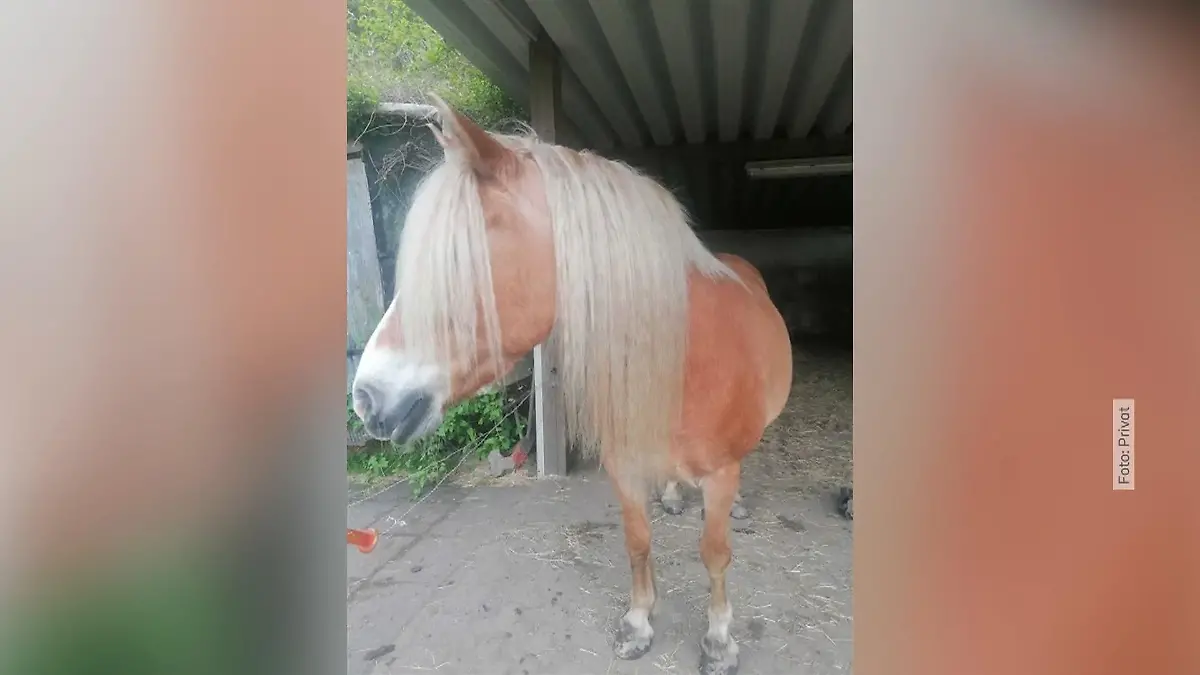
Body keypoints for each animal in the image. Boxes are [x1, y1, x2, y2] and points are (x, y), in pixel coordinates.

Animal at [351, 95, 793, 675]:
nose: (366, 397)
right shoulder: (625, 465)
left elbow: (714, 553)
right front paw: (637, 623)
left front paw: (719, 640)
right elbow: (637, 541)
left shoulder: (720, 473)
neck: (683, 355)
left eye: (456, 266)